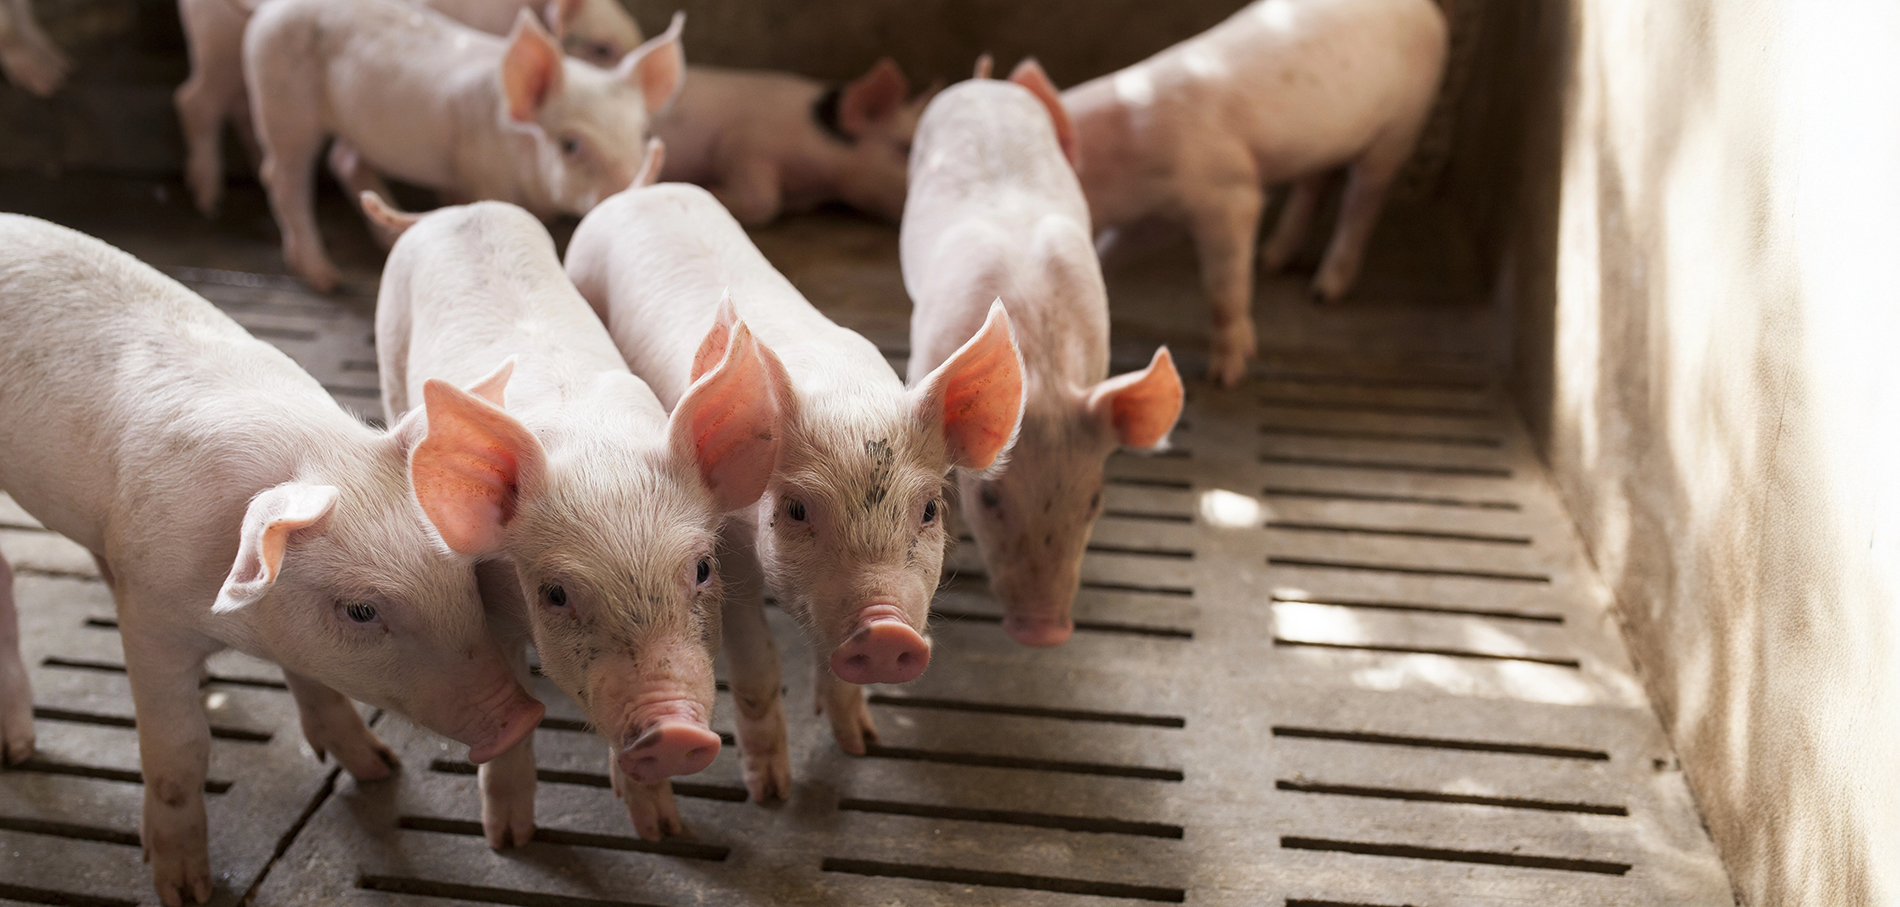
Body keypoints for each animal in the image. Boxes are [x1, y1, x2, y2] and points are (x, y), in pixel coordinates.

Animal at [0, 214, 542, 906]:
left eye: (463, 576)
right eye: (360, 610)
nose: (523, 715)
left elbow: (314, 681)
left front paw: (379, 771)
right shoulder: (149, 617)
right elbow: (179, 749)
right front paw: (185, 890)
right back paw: (17, 751)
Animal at [243, 0, 683, 290]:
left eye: (643, 134)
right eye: (571, 145)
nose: (635, 186)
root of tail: (268, 8)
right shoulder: (479, 171)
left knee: (344, 161)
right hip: (283, 106)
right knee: (282, 177)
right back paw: (326, 278)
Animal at [364, 185, 787, 844]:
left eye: (703, 569)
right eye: (556, 594)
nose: (674, 731)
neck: (596, 450)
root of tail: (453, 210)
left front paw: (661, 831)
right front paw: (508, 841)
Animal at [566, 182, 1025, 820]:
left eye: (931, 509)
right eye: (797, 509)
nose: (887, 632)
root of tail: (639, 190)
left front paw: (861, 745)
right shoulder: (727, 554)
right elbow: (757, 665)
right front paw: (771, 796)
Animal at [1060, 0, 1448, 386]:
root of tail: (1428, 10)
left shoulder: (1227, 195)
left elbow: (1223, 289)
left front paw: (1225, 377)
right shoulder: (1157, 216)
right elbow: (1108, 250)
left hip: (1401, 127)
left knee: (1363, 200)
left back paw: (1321, 293)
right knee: (1315, 183)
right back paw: (1271, 260)